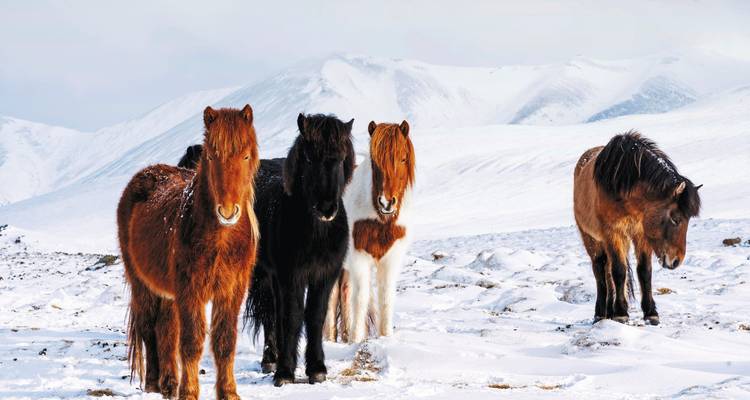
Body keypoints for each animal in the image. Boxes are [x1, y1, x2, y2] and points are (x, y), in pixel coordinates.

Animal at [118, 105, 260, 400]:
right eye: (211, 155)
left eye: (246, 155)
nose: (227, 211)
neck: (221, 240)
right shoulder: (190, 290)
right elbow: (192, 342)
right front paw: (190, 392)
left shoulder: (232, 291)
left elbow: (225, 341)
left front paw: (228, 392)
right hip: (142, 283)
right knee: (149, 329)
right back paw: (154, 383)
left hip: (168, 292)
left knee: (166, 329)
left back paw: (169, 383)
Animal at [243, 113, 355, 387]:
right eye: (309, 158)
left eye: (340, 158)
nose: (326, 208)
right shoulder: (290, 275)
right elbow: (292, 317)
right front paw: (285, 372)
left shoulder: (325, 275)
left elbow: (315, 316)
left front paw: (316, 368)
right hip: (266, 275)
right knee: (272, 314)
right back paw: (271, 359)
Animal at [324, 120, 415, 343]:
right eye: (374, 162)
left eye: (403, 158)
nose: (386, 203)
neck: (380, 220)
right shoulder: (359, 258)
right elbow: (361, 297)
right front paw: (357, 339)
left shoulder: (391, 260)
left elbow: (386, 297)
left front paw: (385, 336)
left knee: (344, 292)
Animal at [574, 131, 701, 325]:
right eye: (675, 218)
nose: (676, 261)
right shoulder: (613, 233)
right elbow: (619, 271)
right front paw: (620, 313)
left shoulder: (641, 234)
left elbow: (644, 271)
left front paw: (651, 313)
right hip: (591, 238)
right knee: (600, 270)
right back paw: (601, 313)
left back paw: (609, 310)